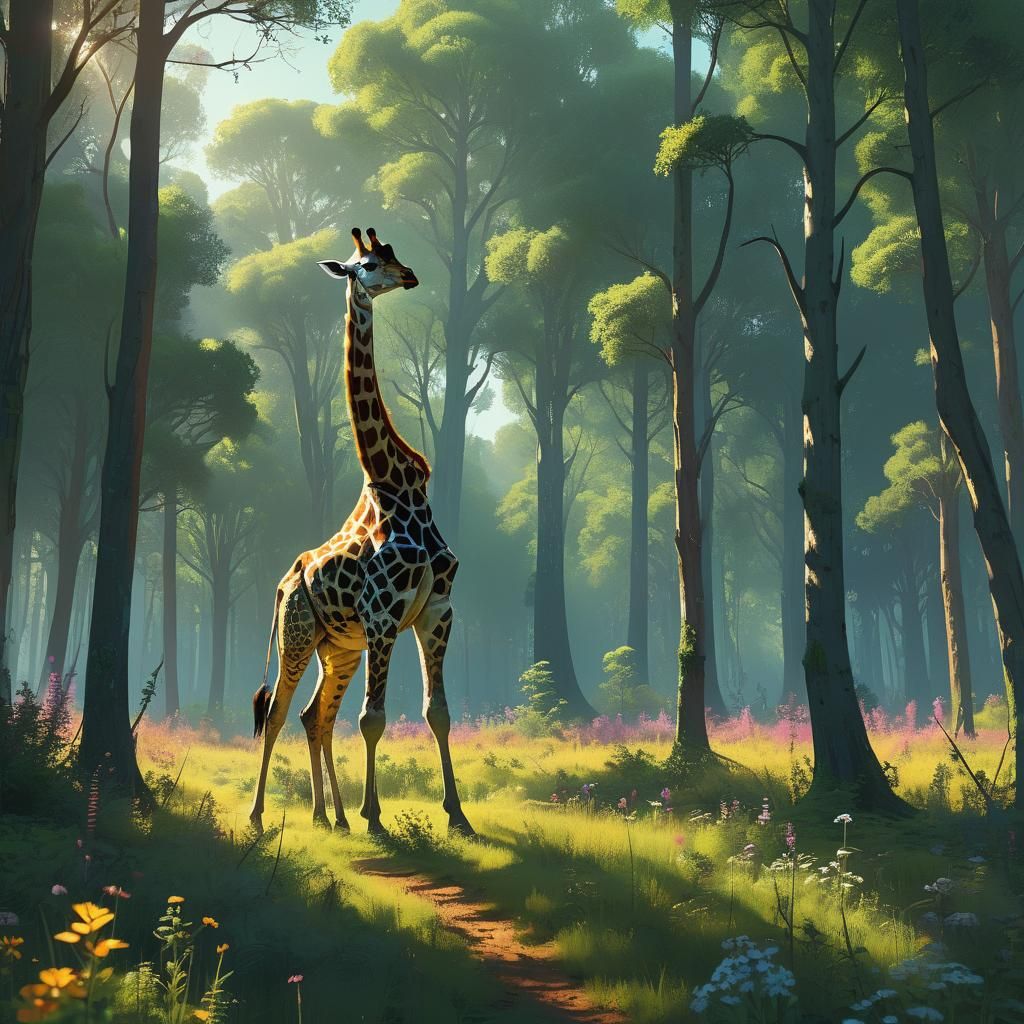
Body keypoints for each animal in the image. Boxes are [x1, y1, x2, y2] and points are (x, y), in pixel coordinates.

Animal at [248, 227, 475, 838]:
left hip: (339, 648)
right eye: (367, 264)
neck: (395, 481)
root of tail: (283, 584)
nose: (410, 276)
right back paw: (261, 815)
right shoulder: (382, 615)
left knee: (315, 716)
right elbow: (373, 719)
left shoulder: (437, 609)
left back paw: (330, 816)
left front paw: (458, 816)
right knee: (277, 712)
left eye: (394, 255)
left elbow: (438, 712)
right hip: (299, 635)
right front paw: (378, 817)